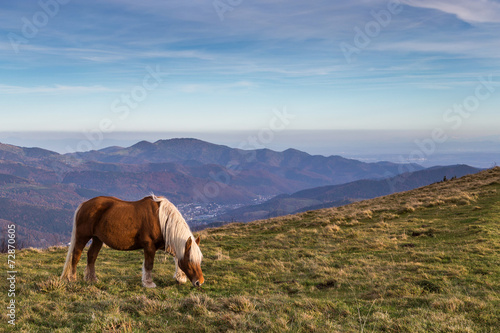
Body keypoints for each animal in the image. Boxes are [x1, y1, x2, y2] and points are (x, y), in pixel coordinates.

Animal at [60, 193, 203, 286]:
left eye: (199, 260)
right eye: (190, 260)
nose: (199, 282)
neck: (160, 219)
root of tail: (84, 205)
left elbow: (176, 256)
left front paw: (180, 278)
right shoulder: (149, 246)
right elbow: (149, 265)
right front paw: (148, 283)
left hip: (97, 239)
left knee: (91, 256)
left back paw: (91, 279)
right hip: (82, 237)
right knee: (76, 255)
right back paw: (72, 279)